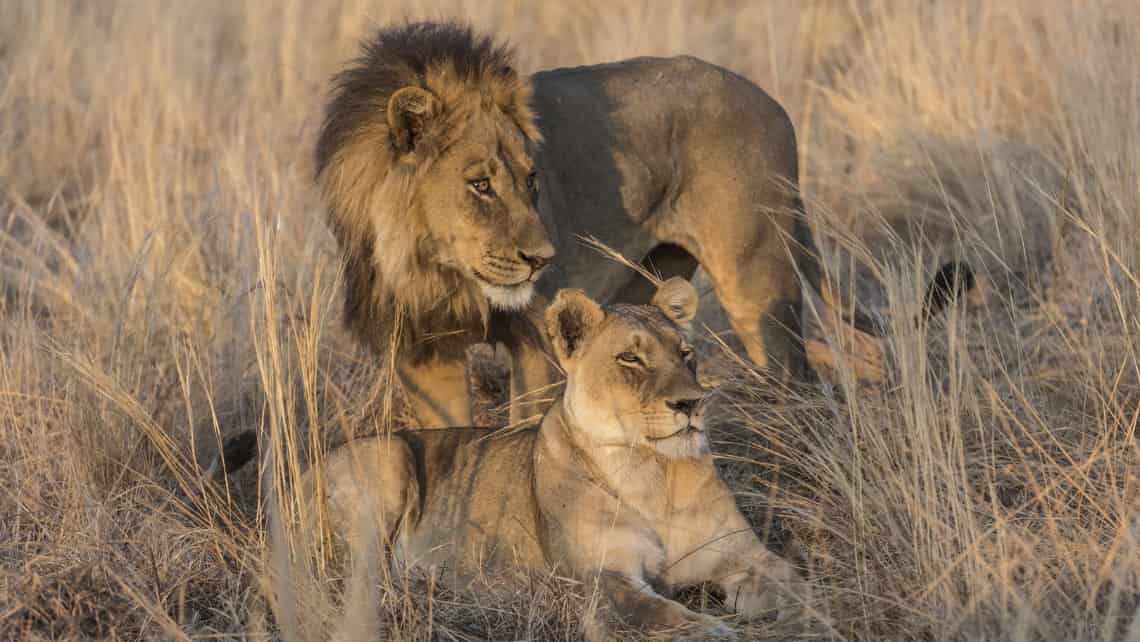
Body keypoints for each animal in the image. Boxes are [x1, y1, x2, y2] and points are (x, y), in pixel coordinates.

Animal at [294, 280, 811, 638]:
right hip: (389, 457)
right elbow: (658, 614)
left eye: (686, 355)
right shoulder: (602, 580)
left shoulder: (743, 553)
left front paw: (818, 612)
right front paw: (715, 630)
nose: (692, 403)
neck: (653, 472)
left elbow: (796, 581)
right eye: (630, 359)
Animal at [312, 21, 870, 426]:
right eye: (481, 185)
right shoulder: (422, 354)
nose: (542, 260)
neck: (437, 269)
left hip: (757, 282)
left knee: (798, 384)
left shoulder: (535, 340)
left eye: (531, 177)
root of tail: (772, 102)